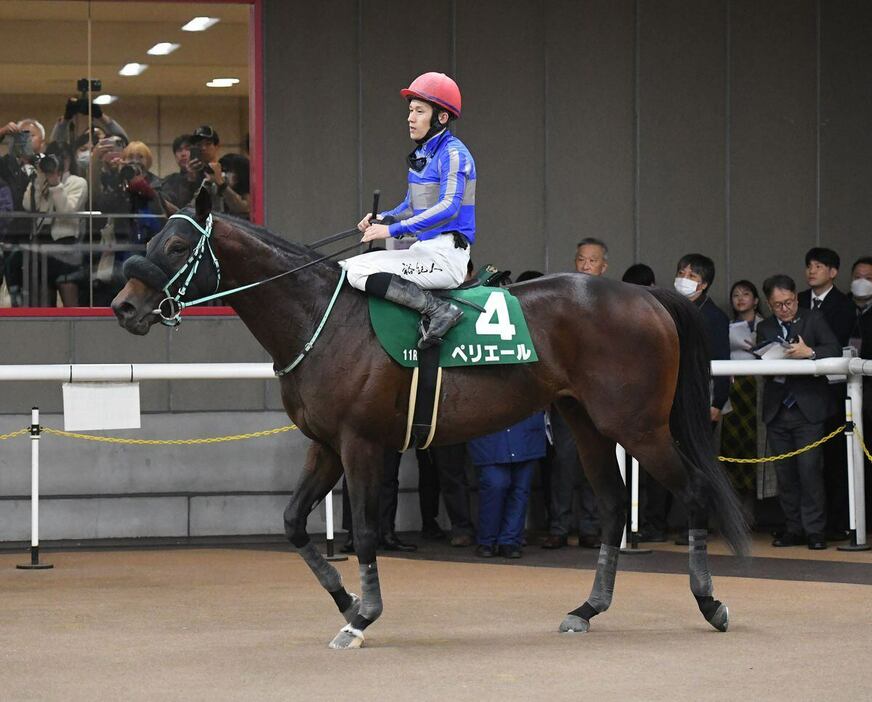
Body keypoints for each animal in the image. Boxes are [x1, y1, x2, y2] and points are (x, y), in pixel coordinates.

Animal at [110, 190, 748, 652]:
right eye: (152, 237)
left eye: (175, 247)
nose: (123, 306)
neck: (322, 318)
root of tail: (647, 297)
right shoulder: (325, 445)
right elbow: (292, 523)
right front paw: (346, 602)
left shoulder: (361, 444)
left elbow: (368, 531)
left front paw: (363, 616)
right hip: (587, 424)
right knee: (614, 505)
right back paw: (586, 609)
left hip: (638, 427)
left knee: (693, 490)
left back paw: (710, 603)